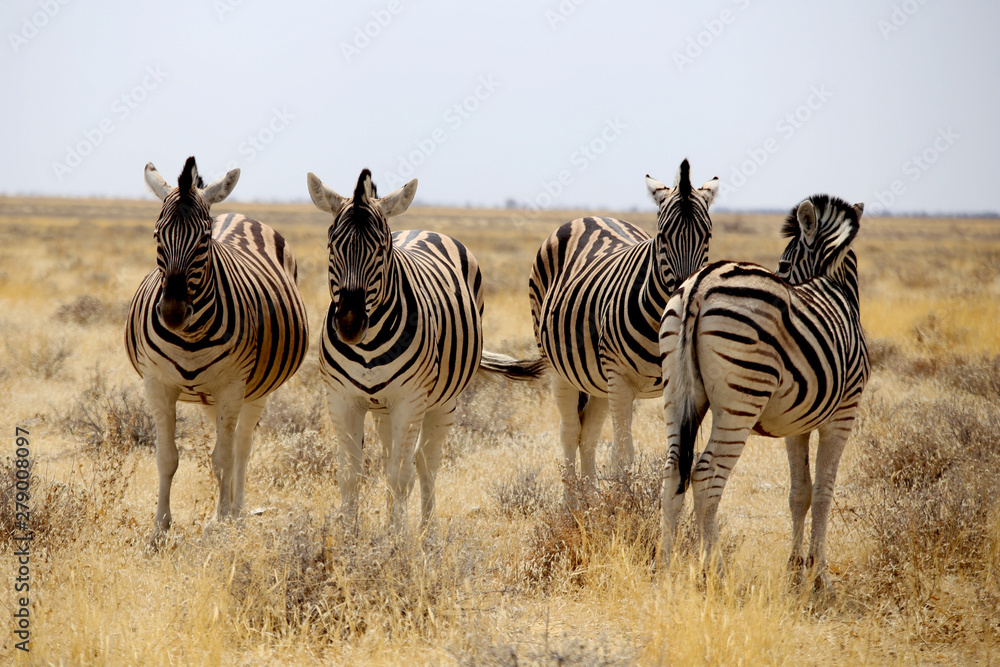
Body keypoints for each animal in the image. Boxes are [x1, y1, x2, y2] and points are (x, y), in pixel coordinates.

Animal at [126, 156, 309, 545]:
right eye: (156, 235)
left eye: (204, 239)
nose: (172, 312)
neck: (190, 335)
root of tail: (237, 214)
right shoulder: (157, 385)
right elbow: (167, 458)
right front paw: (160, 528)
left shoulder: (232, 386)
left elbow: (222, 458)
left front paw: (223, 521)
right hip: (210, 397)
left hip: (253, 390)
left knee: (240, 445)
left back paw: (234, 511)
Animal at [307, 168, 544, 530]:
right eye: (332, 246)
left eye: (382, 249)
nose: (349, 323)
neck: (368, 346)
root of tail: (426, 231)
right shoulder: (342, 398)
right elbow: (350, 475)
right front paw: (349, 537)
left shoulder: (409, 399)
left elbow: (400, 476)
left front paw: (394, 537)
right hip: (383, 407)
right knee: (392, 457)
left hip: (443, 401)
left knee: (425, 461)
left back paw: (426, 531)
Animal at [529, 159, 718, 491]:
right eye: (662, 236)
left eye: (706, 236)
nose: (684, 297)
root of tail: (590, 216)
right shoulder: (620, 378)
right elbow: (622, 454)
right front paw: (622, 502)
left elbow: (681, 452)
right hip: (561, 368)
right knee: (570, 432)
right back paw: (572, 502)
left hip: (598, 379)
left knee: (588, 435)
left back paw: (589, 499)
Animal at [658, 194, 868, 592]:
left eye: (784, 263)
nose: (781, 273)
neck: (836, 286)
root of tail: (699, 284)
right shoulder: (842, 416)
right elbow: (824, 492)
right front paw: (820, 577)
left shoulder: (797, 424)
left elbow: (800, 492)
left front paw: (795, 570)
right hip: (741, 399)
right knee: (706, 474)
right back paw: (714, 571)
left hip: (676, 393)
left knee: (674, 470)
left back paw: (662, 567)